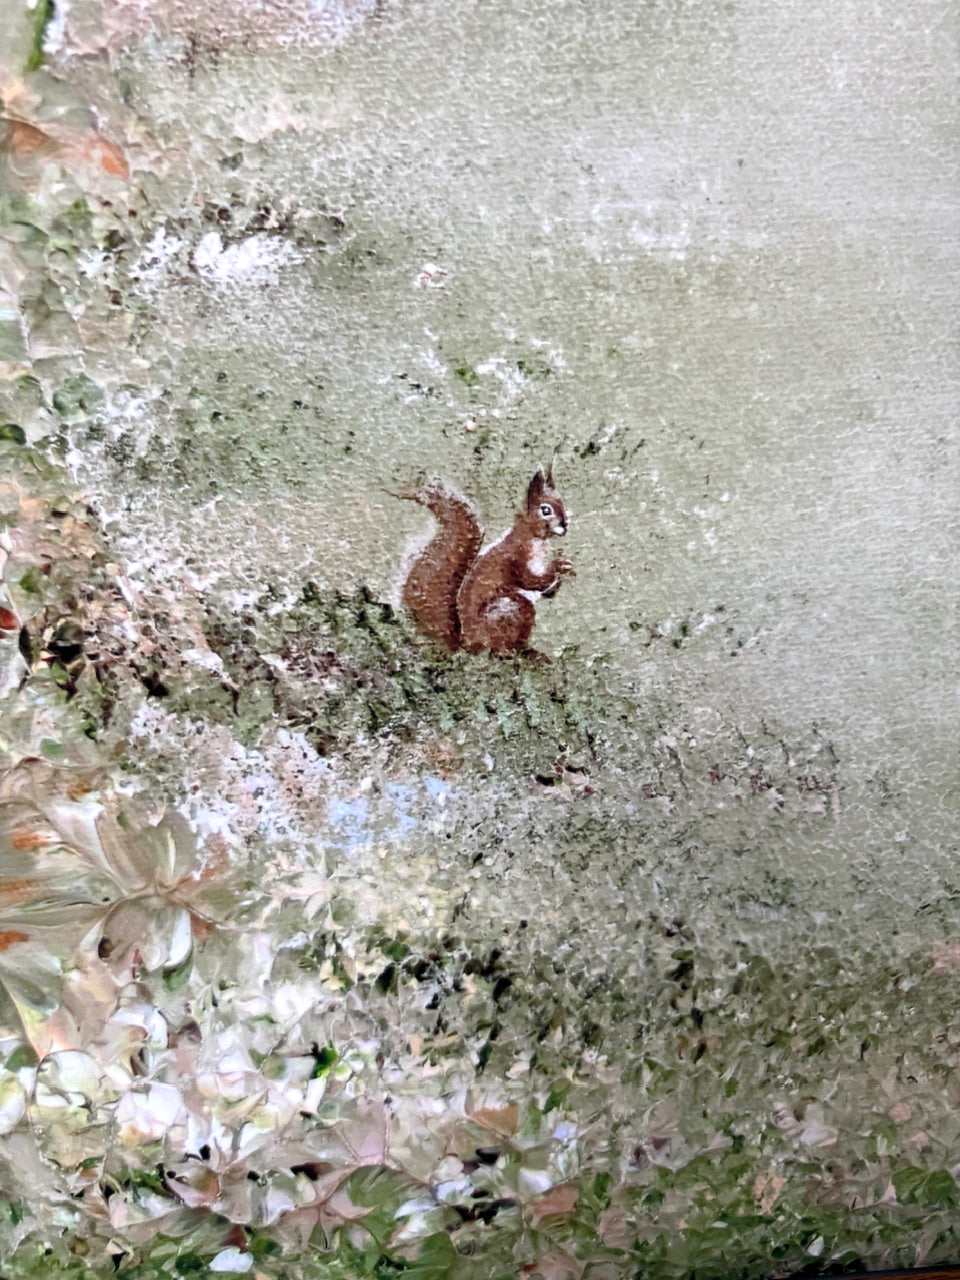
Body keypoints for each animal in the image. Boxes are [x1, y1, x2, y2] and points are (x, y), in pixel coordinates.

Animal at [396, 466, 573, 655]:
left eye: (561, 503)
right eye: (546, 510)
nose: (565, 525)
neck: (533, 538)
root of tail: (467, 641)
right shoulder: (516, 557)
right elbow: (530, 580)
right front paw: (559, 565)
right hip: (511, 609)